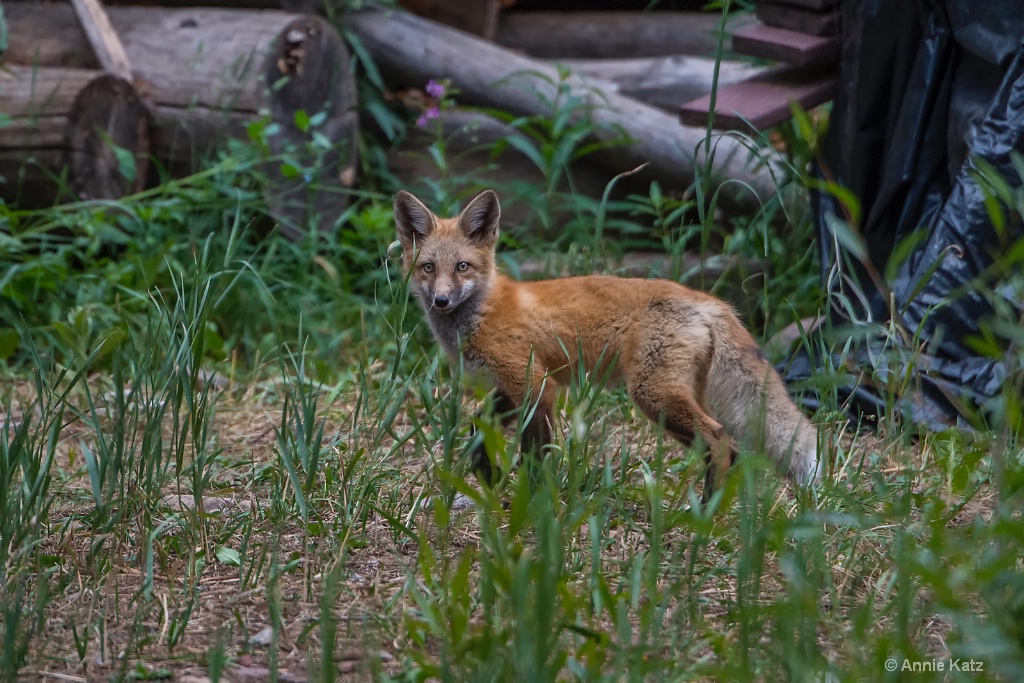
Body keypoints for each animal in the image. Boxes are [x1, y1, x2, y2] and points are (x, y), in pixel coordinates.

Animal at [391, 187, 823, 497]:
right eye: (428, 268)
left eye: (462, 267)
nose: (441, 301)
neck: (482, 313)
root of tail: (709, 300)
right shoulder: (509, 390)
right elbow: (477, 430)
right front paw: (489, 476)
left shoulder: (537, 385)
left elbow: (536, 455)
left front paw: (534, 504)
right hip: (678, 397)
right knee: (726, 448)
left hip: (653, 397)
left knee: (721, 441)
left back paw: (705, 514)